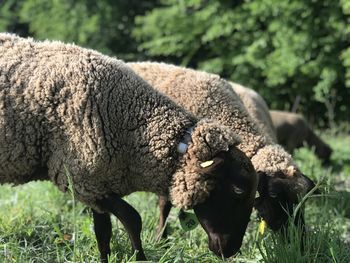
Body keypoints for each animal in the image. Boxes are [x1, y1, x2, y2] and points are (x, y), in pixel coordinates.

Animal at [0, 33, 258, 262]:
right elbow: (132, 218)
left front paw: (105, 259)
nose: (231, 251)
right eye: (238, 190)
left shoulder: (96, 183)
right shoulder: (79, 178)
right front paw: (140, 258)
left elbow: (103, 234)